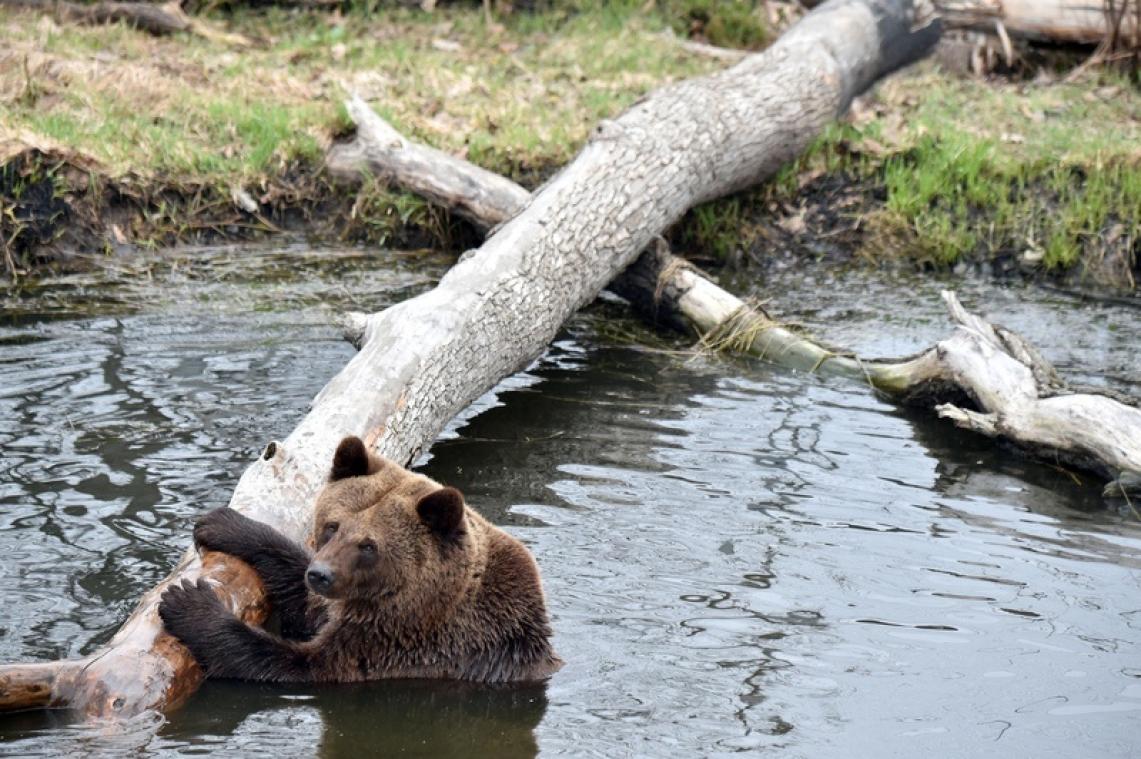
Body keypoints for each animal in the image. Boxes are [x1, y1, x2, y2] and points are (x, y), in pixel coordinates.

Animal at [159, 435, 561, 684]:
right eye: (332, 526)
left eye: (368, 546)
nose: (320, 574)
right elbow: (302, 599)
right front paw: (220, 523)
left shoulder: (402, 648)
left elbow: (291, 662)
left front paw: (187, 601)